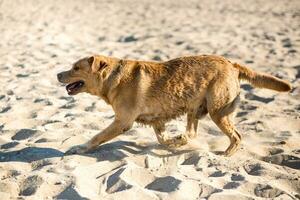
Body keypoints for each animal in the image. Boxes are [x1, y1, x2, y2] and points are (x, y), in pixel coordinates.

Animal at [56, 55, 290, 156]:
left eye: (76, 68)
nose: (58, 74)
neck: (112, 77)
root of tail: (232, 63)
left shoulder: (122, 122)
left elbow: (97, 137)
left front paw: (80, 148)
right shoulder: (156, 120)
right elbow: (162, 137)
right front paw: (174, 142)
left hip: (218, 112)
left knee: (237, 136)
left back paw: (226, 155)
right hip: (195, 107)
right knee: (193, 132)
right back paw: (183, 139)